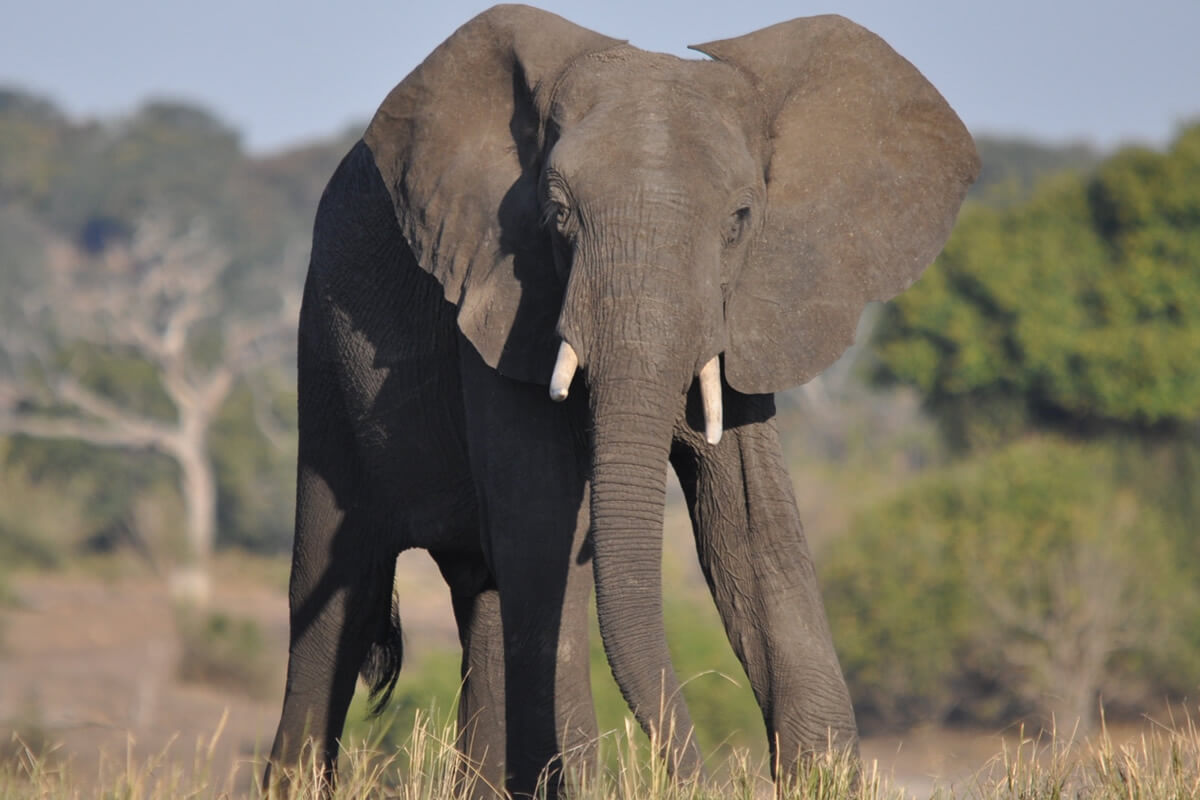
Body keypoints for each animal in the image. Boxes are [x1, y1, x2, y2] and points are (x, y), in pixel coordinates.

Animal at [265, 4, 979, 797]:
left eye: (740, 219)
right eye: (557, 214)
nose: (702, 777)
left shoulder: (742, 315)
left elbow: (753, 533)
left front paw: (822, 775)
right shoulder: (500, 298)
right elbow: (547, 532)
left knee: (486, 600)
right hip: (322, 353)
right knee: (339, 600)